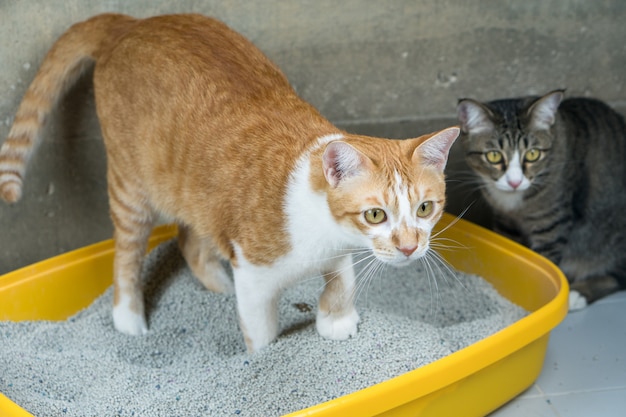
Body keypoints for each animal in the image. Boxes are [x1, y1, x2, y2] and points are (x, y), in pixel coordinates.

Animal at [0, 13, 458, 352]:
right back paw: (129, 321)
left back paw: (217, 289)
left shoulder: (339, 254)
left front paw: (337, 322)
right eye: (375, 215)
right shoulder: (254, 277)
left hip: (197, 192)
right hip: (132, 189)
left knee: (190, 239)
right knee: (126, 256)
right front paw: (264, 359)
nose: (409, 247)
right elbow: (263, 334)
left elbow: (341, 285)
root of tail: (130, 24)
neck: (320, 226)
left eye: (425, 208)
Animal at [454, 88, 624, 308]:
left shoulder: (550, 224)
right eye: (494, 156)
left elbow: (547, 261)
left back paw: (578, 293)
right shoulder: (506, 223)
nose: (515, 182)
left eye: (533, 154)